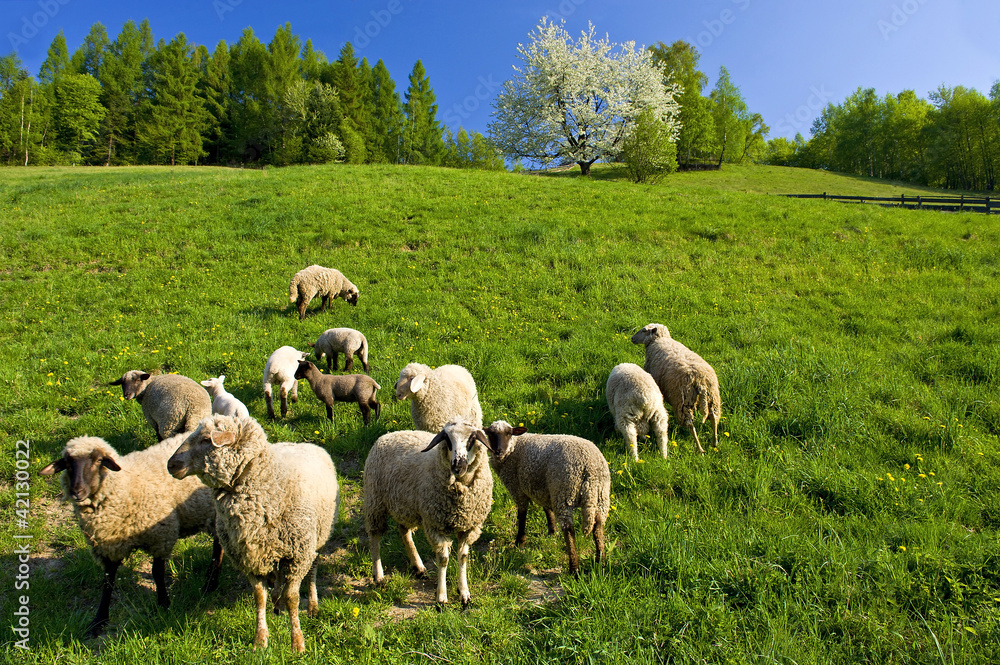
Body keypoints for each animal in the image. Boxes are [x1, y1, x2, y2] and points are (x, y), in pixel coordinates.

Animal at [39, 435, 222, 637]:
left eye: (97, 461)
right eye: (68, 464)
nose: (76, 492)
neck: (124, 485)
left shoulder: (161, 536)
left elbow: (157, 573)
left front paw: (163, 604)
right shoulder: (109, 547)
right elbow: (108, 582)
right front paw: (99, 620)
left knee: (218, 547)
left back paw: (210, 583)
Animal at [167, 415, 339, 653]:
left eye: (205, 439)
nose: (171, 464)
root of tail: (302, 443)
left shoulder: (297, 556)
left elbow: (292, 598)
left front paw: (297, 642)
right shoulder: (249, 558)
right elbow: (259, 598)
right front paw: (260, 639)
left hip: (318, 536)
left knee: (313, 568)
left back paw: (312, 604)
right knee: (277, 580)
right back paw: (277, 605)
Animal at [363, 417, 493, 608]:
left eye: (471, 439)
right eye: (447, 440)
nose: (458, 466)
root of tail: (388, 434)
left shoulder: (469, 527)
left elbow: (463, 557)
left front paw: (464, 594)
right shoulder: (435, 525)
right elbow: (443, 559)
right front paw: (441, 597)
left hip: (405, 507)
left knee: (404, 532)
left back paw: (418, 567)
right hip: (375, 502)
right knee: (375, 537)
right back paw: (378, 576)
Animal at [483, 421, 610, 576]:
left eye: (508, 433)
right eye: (490, 434)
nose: (498, 452)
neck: (514, 447)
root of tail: (590, 466)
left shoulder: (517, 488)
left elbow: (522, 514)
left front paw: (520, 541)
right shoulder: (542, 488)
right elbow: (547, 510)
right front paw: (552, 531)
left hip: (563, 493)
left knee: (569, 530)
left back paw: (574, 568)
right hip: (601, 496)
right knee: (598, 527)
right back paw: (601, 563)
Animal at [630, 323, 721, 454]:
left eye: (643, 330)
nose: (632, 338)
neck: (660, 339)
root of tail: (700, 381)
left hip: (683, 401)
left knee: (690, 425)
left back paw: (699, 448)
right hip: (713, 397)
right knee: (714, 417)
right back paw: (714, 442)